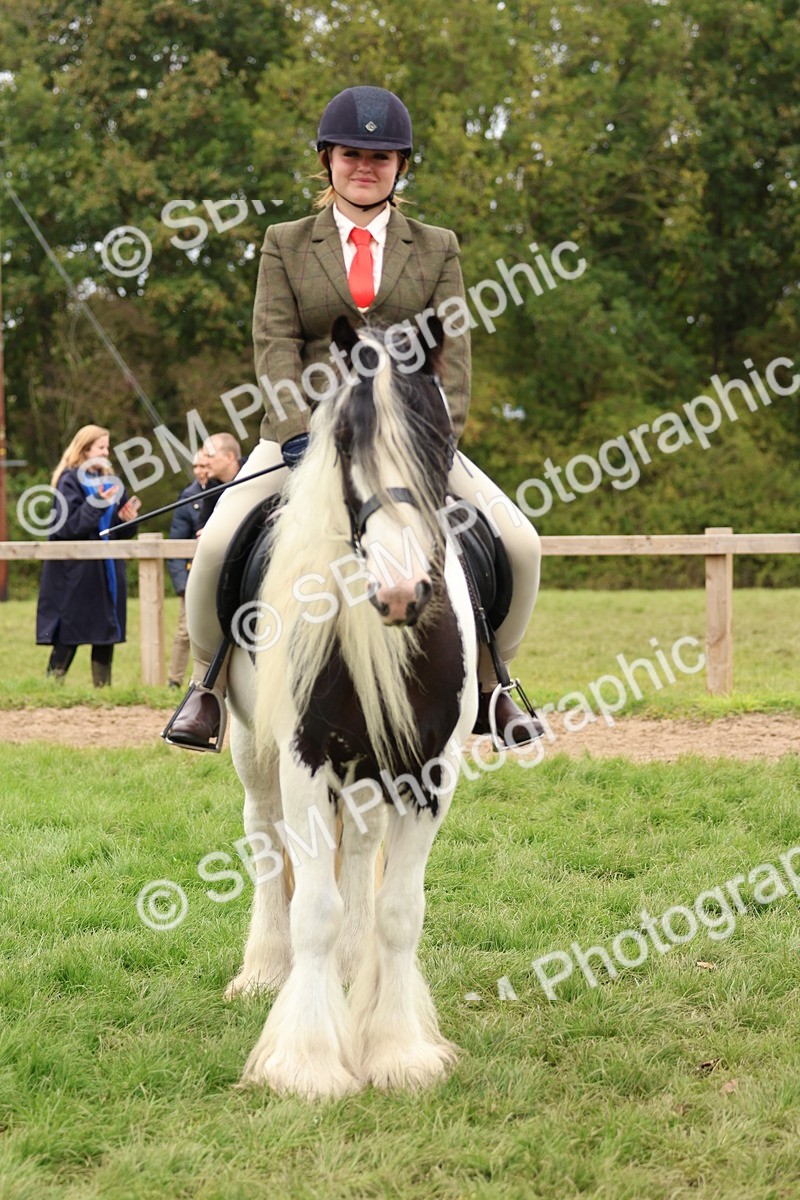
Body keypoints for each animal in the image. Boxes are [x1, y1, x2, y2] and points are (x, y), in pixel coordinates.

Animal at [222, 315, 479, 1099]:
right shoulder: (305, 757)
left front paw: (396, 1049)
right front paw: (305, 1062)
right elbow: (313, 907)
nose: (398, 593)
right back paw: (264, 970)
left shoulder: (431, 769)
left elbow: (398, 911)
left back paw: (350, 971)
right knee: (265, 836)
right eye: (342, 440)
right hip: (252, 747)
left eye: (439, 435)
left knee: (361, 849)